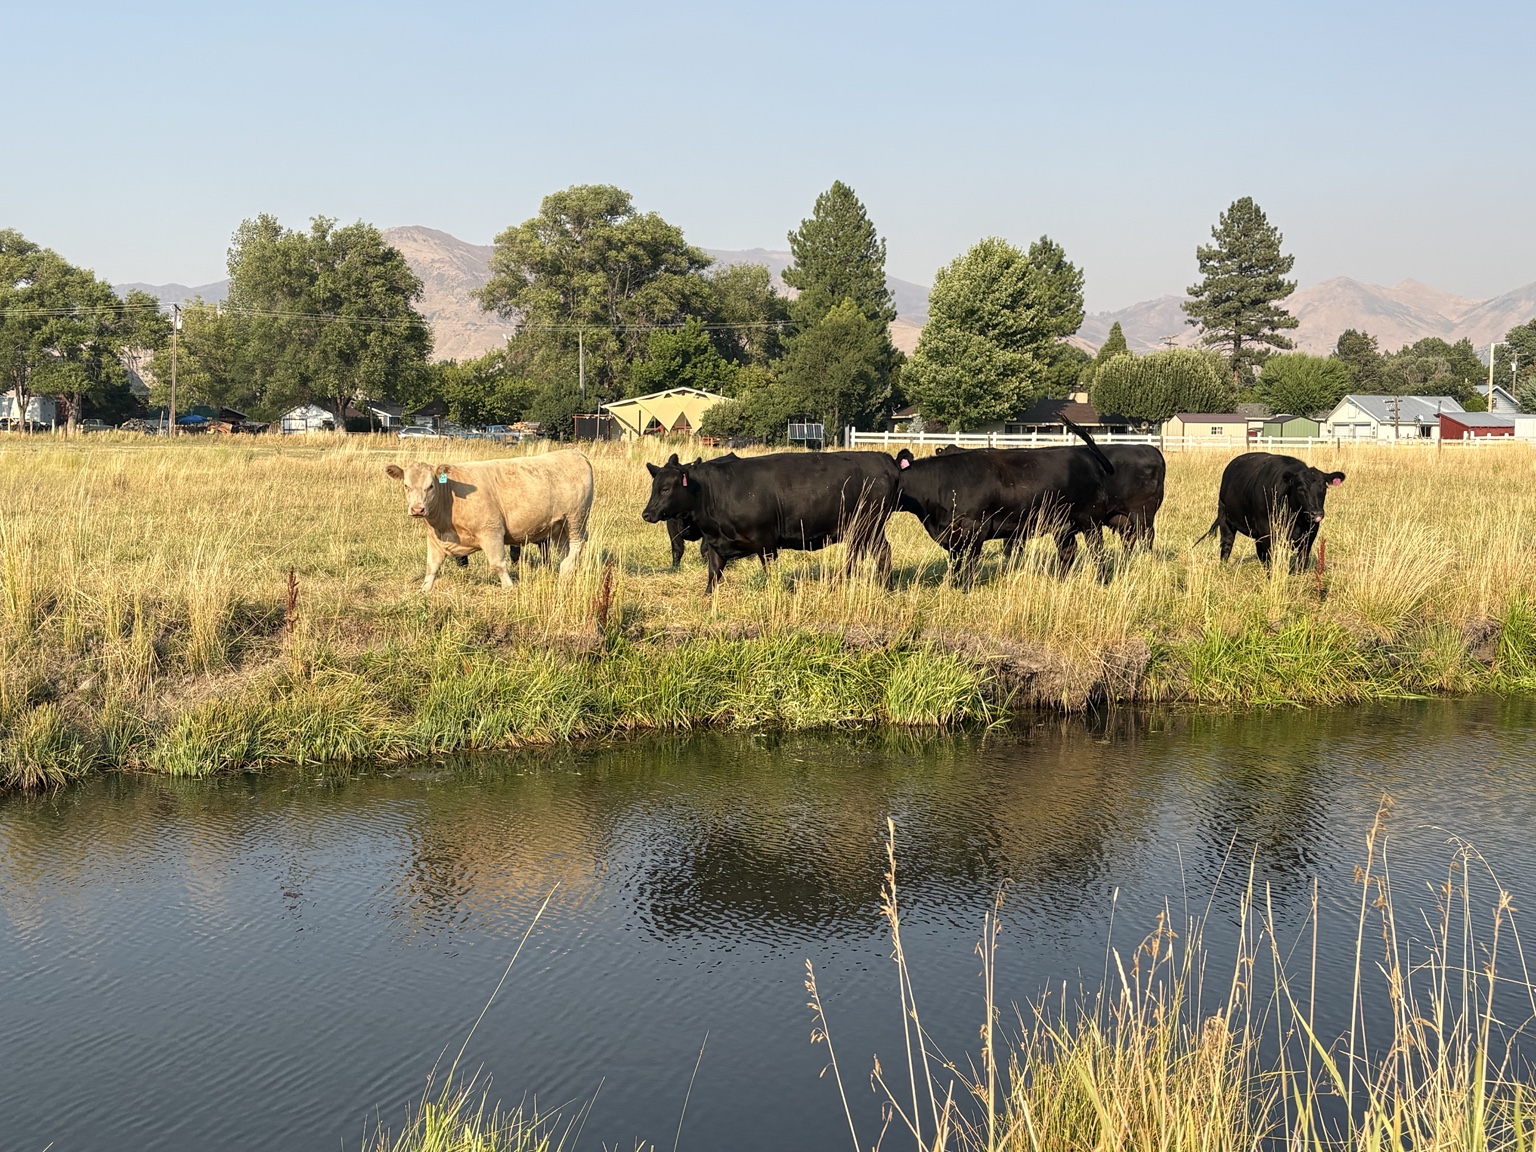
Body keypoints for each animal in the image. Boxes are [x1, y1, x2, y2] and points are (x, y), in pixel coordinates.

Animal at [383, 451, 594, 591]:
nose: (417, 509)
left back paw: (566, 568)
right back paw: (565, 571)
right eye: (406, 486)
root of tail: (573, 452)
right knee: (564, 548)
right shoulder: (435, 539)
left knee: (578, 543)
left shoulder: (491, 531)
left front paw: (509, 587)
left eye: (431, 486)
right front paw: (425, 590)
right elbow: (432, 566)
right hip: (559, 525)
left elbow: (498, 564)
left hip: (577, 517)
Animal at [641, 450, 903, 592]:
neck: (714, 492)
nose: (647, 513)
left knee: (874, 553)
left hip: (868, 526)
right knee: (871, 554)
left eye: (666, 488)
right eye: (654, 486)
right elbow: (713, 574)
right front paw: (707, 597)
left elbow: (769, 571)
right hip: (865, 530)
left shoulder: (766, 541)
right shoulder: (715, 543)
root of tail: (882, 458)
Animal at [1195, 452, 1346, 572]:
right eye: (1301, 488)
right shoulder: (1267, 529)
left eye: (1324, 488)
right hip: (1225, 519)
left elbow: (1302, 560)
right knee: (1226, 545)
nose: (1316, 513)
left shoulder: (1310, 533)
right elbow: (1270, 558)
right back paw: (1222, 568)